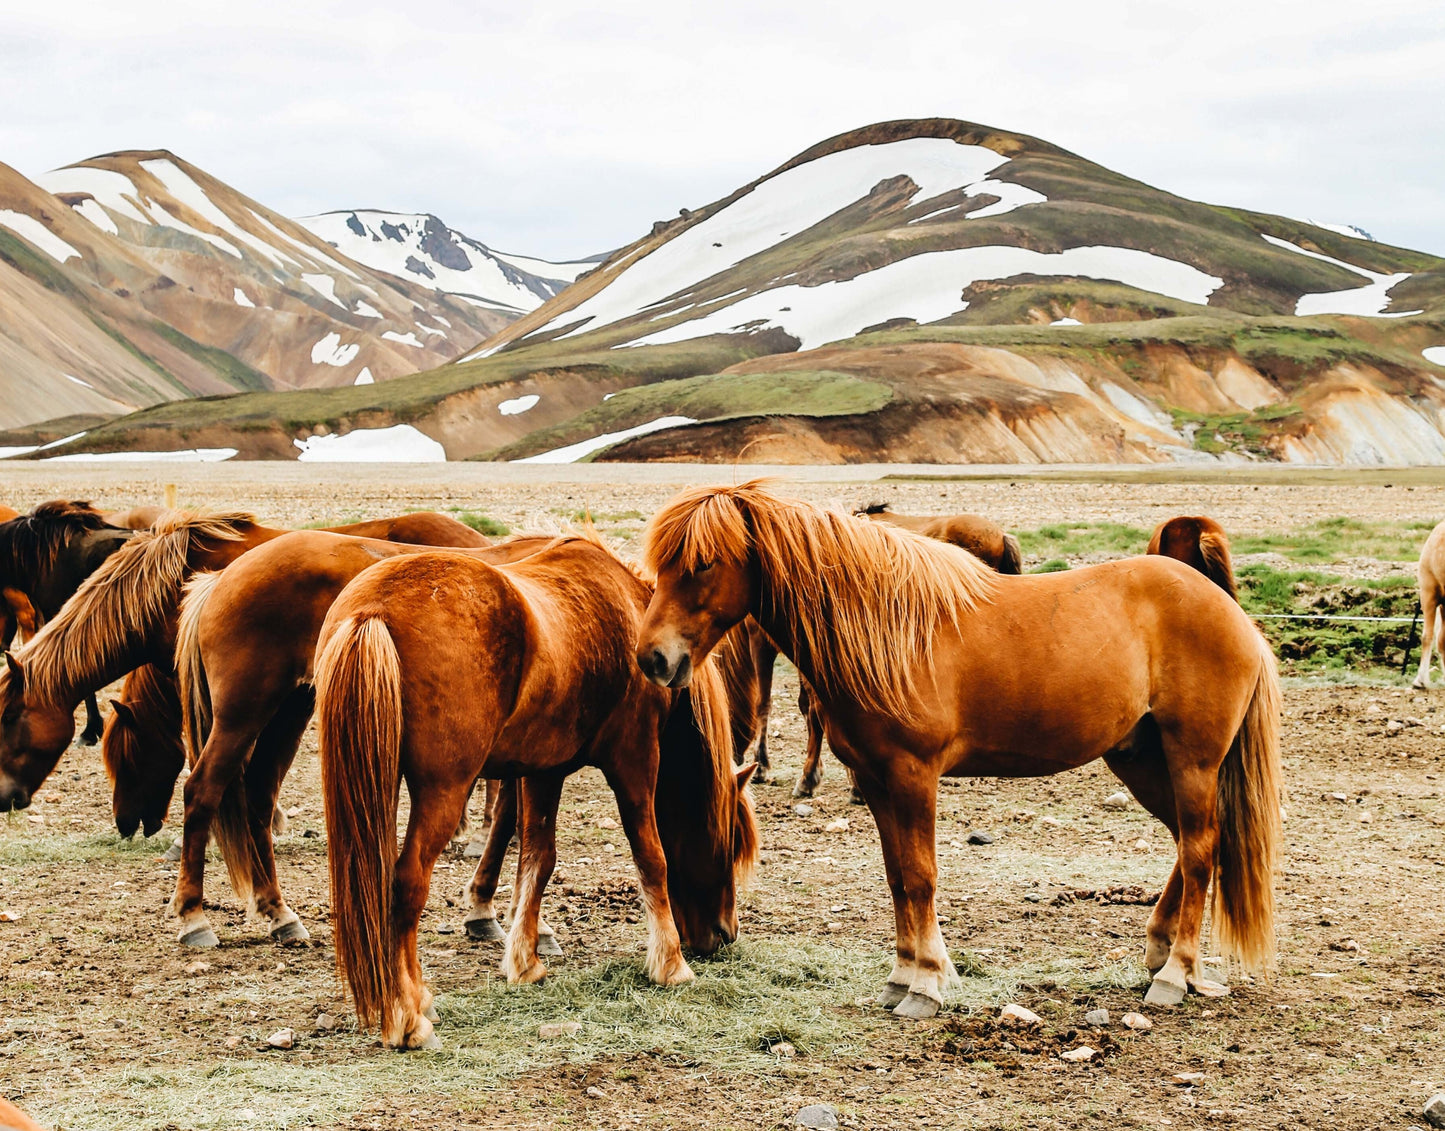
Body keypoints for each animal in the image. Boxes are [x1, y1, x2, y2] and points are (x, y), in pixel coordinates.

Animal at [314, 537, 758, 1049]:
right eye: (729, 846)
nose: (725, 934)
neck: (627, 610)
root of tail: (372, 609)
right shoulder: (635, 759)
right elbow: (652, 857)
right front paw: (670, 965)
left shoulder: (543, 771)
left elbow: (537, 860)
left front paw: (525, 962)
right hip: (443, 791)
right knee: (406, 883)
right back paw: (407, 1016)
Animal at [636, 482, 1281, 1017]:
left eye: (702, 563)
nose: (653, 659)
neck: (887, 629)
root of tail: (1232, 614)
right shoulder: (876, 781)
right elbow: (898, 877)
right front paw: (901, 977)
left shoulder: (913, 776)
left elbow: (921, 877)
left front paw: (925, 986)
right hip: (1141, 761)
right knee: (1190, 844)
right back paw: (1161, 953)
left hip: (1192, 761)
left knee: (1199, 850)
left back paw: (1176, 975)